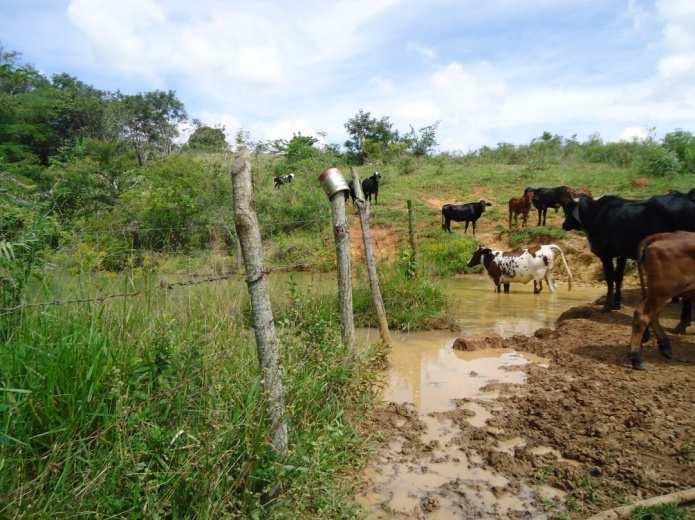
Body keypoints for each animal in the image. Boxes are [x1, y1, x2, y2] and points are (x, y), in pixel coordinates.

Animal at [564, 194, 695, 320]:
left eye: (567, 210)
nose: (564, 225)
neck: (594, 213)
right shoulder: (622, 254)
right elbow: (618, 277)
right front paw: (616, 304)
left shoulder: (606, 255)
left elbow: (610, 279)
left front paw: (607, 306)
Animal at [628, 231, 695, 370]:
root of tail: (663, 235)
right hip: (662, 291)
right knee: (643, 315)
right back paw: (637, 358)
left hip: (658, 293)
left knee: (653, 315)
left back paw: (665, 347)